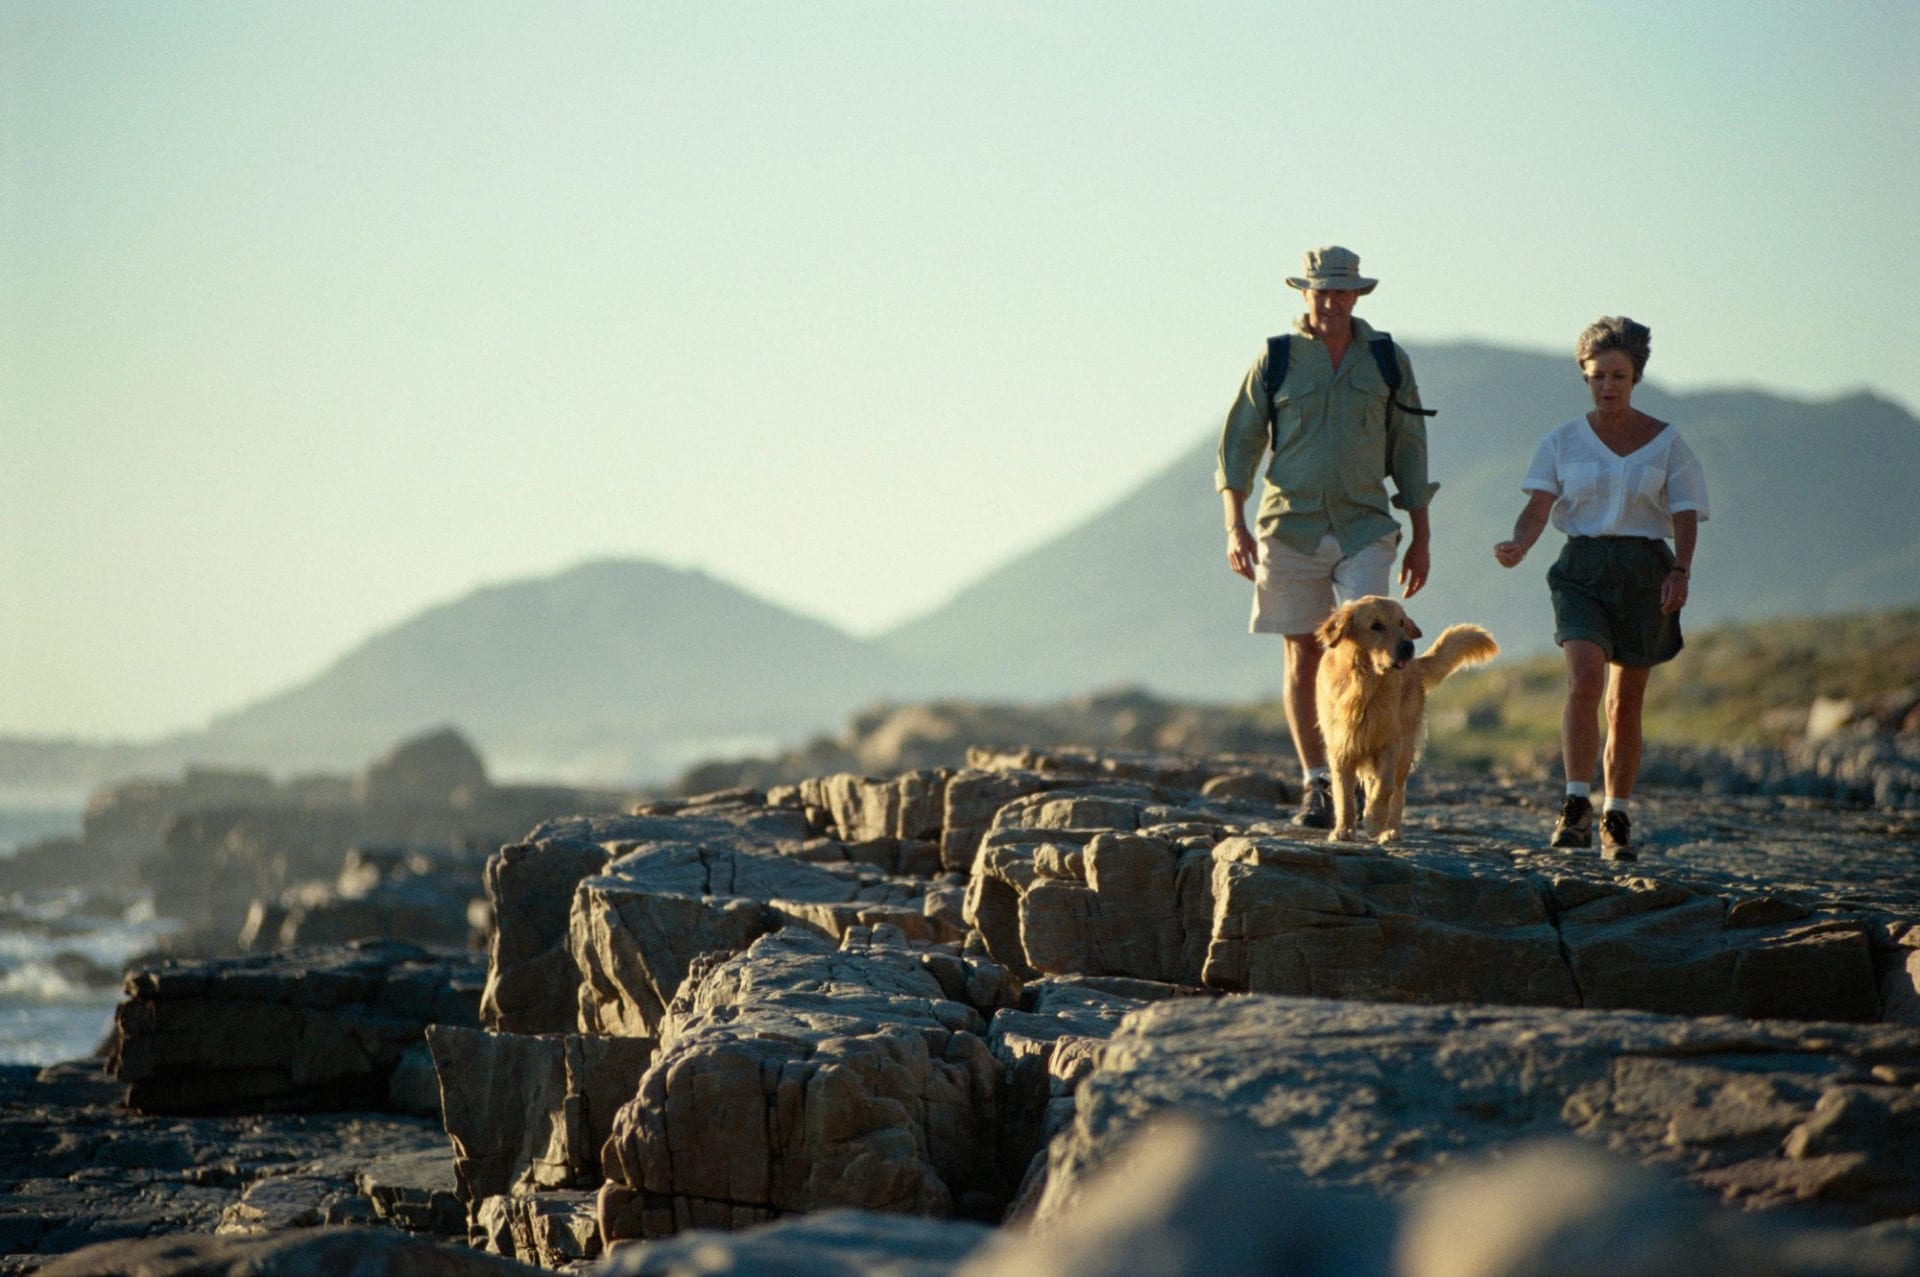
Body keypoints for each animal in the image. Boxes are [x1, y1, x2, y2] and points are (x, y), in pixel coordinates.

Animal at [1320, 595, 1497, 841]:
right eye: (1376, 625)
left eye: (1402, 623)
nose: (1408, 647)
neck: (1364, 686)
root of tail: (1415, 665)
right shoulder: (1341, 747)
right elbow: (1344, 795)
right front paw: (1343, 830)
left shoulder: (1391, 742)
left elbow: (1384, 786)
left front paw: (1374, 821)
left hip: (1406, 747)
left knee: (1398, 789)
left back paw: (1391, 830)